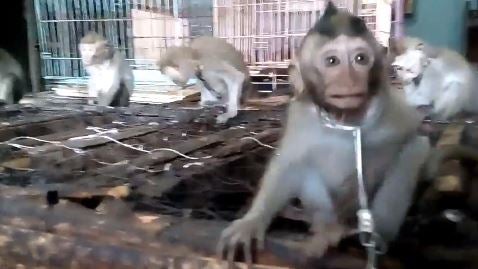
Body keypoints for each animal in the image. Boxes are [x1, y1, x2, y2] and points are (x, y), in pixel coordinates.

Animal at [218, 2, 478, 266]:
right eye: (332, 61)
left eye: (360, 59)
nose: (350, 80)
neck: (345, 118)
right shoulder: (301, 115)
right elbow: (288, 164)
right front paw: (251, 222)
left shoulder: (391, 107)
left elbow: (416, 140)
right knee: (307, 168)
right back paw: (324, 231)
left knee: (410, 153)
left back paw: (367, 235)